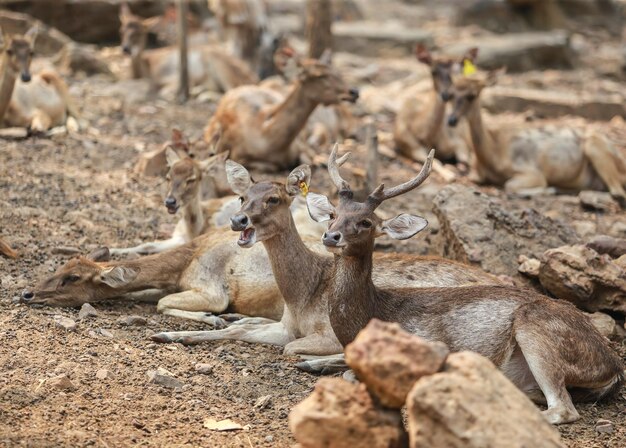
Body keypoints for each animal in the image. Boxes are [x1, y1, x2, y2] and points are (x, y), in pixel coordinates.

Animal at [118, 3, 258, 96]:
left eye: (139, 33)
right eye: (121, 31)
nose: (126, 49)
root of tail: (252, 76)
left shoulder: (172, 76)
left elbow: (165, 91)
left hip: (220, 64)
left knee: (234, 89)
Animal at [149, 152, 500, 366]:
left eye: (273, 199)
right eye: (241, 197)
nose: (238, 220)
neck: (304, 296)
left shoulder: (329, 334)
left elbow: (291, 347)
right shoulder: (286, 326)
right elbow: (237, 333)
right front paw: (167, 334)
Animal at [202, 51, 358, 172]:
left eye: (337, 71)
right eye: (320, 75)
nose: (354, 92)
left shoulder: (298, 145)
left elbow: (306, 159)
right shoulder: (237, 155)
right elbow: (272, 166)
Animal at [302, 146, 620, 424]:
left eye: (367, 222)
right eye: (333, 214)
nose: (331, 236)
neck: (371, 315)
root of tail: (614, 365)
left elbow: (352, 374)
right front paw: (311, 361)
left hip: (537, 329)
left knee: (563, 409)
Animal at [444, 70, 624, 203]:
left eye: (472, 95)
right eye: (450, 94)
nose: (452, 120)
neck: (493, 153)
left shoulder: (531, 170)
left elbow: (510, 185)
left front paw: (547, 189)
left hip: (596, 149)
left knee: (618, 193)